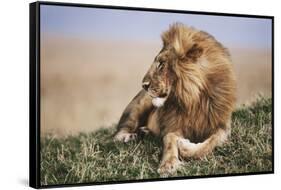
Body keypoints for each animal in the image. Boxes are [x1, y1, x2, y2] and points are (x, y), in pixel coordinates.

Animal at [112, 23, 235, 176]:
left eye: (161, 64)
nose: (144, 85)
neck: (193, 100)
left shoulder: (222, 125)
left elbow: (209, 144)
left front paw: (185, 146)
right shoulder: (173, 126)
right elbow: (169, 140)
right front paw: (168, 165)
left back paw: (145, 132)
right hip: (139, 106)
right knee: (118, 133)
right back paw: (130, 137)